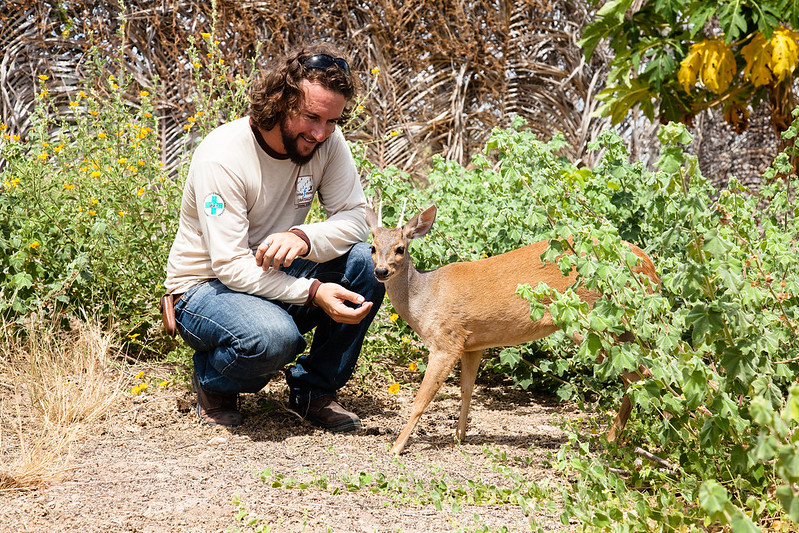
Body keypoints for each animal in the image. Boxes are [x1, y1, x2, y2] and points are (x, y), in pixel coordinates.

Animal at [366, 204, 660, 454]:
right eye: (372, 247)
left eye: (400, 248)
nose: (380, 271)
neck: (425, 298)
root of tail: (648, 266)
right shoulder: (472, 344)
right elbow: (467, 391)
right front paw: (459, 437)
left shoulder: (445, 340)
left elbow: (421, 399)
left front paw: (396, 447)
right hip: (622, 327)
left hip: (593, 322)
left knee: (640, 375)